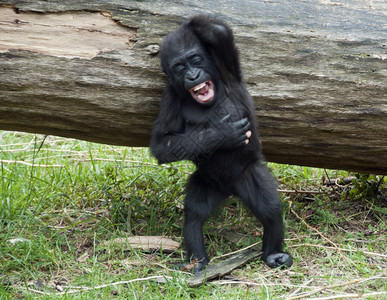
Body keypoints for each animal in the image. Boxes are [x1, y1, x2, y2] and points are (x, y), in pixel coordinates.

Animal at [150, 15, 292, 272]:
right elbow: (161, 144)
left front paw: (186, 23)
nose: (193, 75)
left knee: (269, 209)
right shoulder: (170, 96)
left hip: (247, 174)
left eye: (195, 59)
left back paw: (274, 253)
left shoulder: (227, 68)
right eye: (180, 67)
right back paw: (197, 261)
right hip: (207, 181)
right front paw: (222, 133)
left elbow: (218, 32)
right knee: (194, 215)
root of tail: (229, 190)